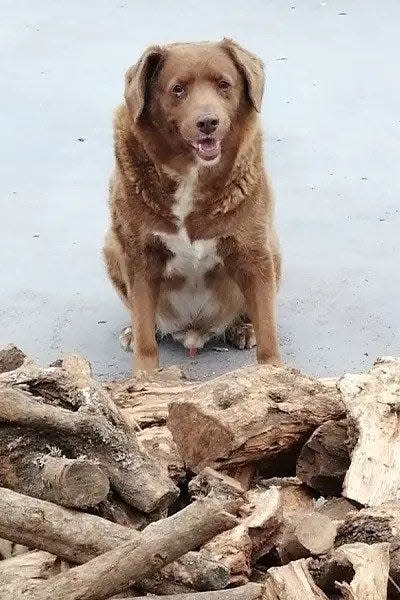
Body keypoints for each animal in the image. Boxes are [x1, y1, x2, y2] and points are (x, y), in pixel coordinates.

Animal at [105, 38, 282, 370]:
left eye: (224, 84)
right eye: (178, 89)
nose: (208, 122)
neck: (191, 174)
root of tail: (193, 331)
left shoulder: (254, 253)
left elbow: (268, 330)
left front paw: (273, 372)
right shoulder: (139, 256)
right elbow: (145, 333)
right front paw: (145, 374)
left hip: (274, 251)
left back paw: (242, 328)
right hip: (111, 245)